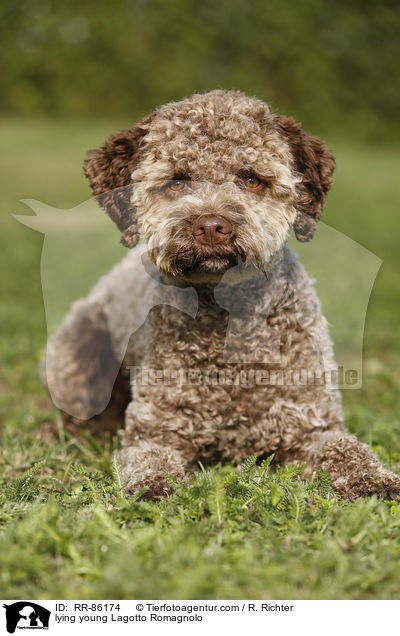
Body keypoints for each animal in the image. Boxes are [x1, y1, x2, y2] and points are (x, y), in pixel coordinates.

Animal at [43, 88, 400, 502]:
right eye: (177, 182)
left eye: (252, 179)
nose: (212, 226)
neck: (228, 323)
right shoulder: (156, 432)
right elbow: (150, 460)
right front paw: (153, 487)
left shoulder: (311, 427)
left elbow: (348, 450)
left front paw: (375, 479)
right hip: (74, 353)